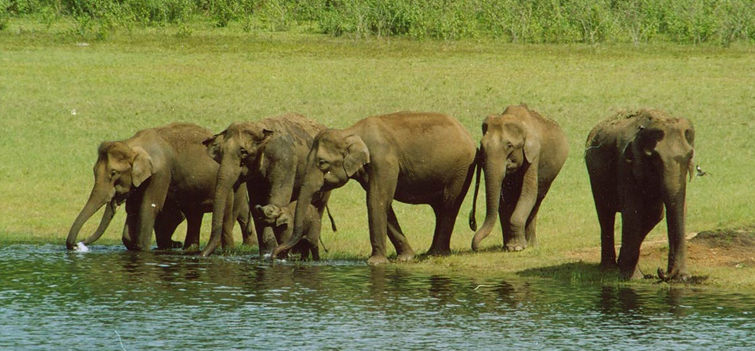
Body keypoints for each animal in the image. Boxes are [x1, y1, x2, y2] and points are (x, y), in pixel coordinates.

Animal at [65, 122, 254, 252]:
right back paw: (188, 249)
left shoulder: (160, 173)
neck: (133, 144)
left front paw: (143, 249)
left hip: (234, 186)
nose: (78, 245)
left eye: (113, 173)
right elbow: (133, 210)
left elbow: (149, 207)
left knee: (229, 214)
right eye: (93, 171)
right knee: (194, 215)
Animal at [199, 113, 330, 258]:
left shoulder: (285, 161)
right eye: (220, 152)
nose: (201, 254)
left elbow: (277, 197)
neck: (259, 127)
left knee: (318, 206)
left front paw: (270, 254)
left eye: (243, 152)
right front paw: (265, 254)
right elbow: (256, 201)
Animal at [272, 111, 476, 266]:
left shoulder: (383, 160)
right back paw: (431, 253)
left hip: (461, 170)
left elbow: (376, 200)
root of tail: (466, 132)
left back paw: (436, 254)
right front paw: (406, 258)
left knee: (448, 206)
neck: (350, 132)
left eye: (322, 163)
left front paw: (375, 262)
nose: (274, 256)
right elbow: (384, 204)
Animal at [584, 108, 696, 282]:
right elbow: (633, 211)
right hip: (595, 176)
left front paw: (683, 278)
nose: (662, 271)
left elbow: (675, 209)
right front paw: (632, 278)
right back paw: (608, 268)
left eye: (690, 156)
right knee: (605, 215)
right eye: (655, 159)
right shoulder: (625, 163)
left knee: (655, 214)